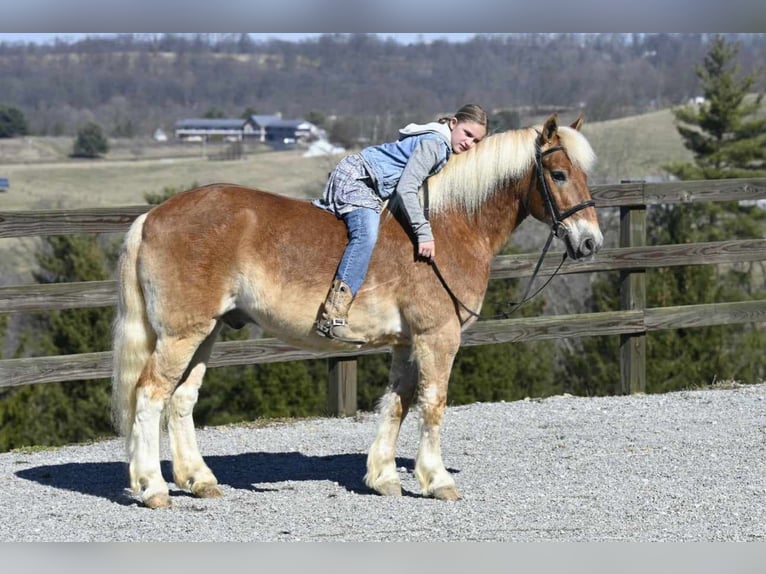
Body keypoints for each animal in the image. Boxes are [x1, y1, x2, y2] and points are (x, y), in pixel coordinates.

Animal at [112, 112, 608, 508]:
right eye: (558, 174)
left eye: (583, 173)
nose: (590, 242)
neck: (447, 226)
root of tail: (152, 216)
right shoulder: (438, 337)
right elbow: (433, 404)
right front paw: (438, 480)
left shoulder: (406, 343)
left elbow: (397, 403)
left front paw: (384, 476)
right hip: (182, 334)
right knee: (150, 395)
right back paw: (152, 488)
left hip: (206, 332)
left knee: (181, 399)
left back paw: (199, 480)